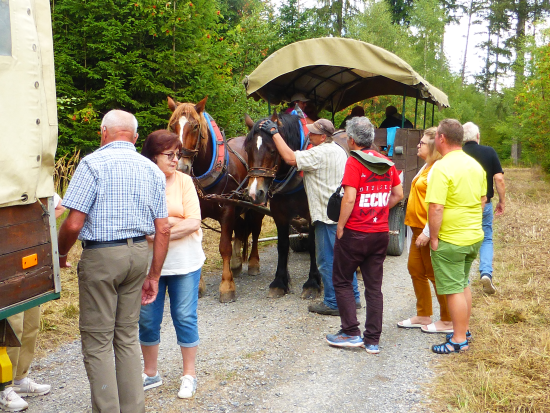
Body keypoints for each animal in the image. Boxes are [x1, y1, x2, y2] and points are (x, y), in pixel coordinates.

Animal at [167, 96, 264, 302]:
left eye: (195, 126)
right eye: (172, 126)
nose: (181, 166)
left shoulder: (227, 209)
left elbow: (224, 247)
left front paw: (227, 286)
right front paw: (198, 286)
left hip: (256, 203)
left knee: (255, 230)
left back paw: (253, 263)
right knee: (241, 230)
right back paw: (236, 264)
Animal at [243, 111, 324, 300]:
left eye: (273, 150)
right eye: (247, 150)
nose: (255, 193)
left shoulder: (312, 213)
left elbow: (313, 244)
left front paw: (313, 282)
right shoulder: (279, 215)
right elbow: (282, 245)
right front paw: (279, 282)